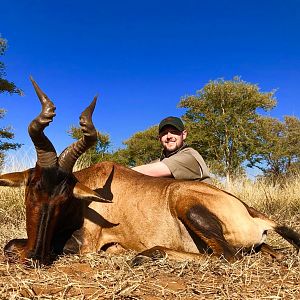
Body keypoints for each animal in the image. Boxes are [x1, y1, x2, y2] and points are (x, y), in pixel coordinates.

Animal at [0, 79, 300, 264]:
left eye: (64, 199)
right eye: (31, 192)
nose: (34, 257)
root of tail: (252, 213)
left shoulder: (85, 244)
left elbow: (15, 244)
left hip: (184, 202)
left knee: (227, 256)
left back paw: (148, 254)